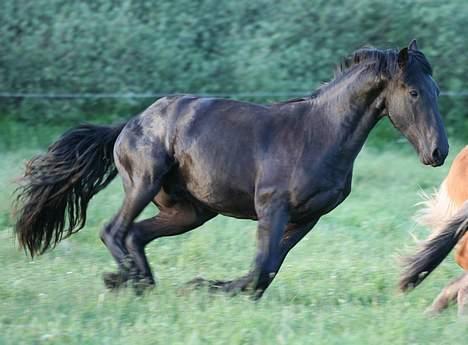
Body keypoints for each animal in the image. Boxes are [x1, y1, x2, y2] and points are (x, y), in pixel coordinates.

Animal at [14, 41, 448, 298]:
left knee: (134, 235)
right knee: (114, 230)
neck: (319, 134)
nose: (438, 151)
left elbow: (267, 269)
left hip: (189, 211)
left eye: (437, 91)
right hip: (144, 183)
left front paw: (210, 286)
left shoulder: (307, 217)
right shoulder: (273, 208)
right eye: (413, 92)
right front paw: (208, 286)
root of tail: (129, 124)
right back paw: (129, 281)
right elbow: (262, 266)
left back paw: (137, 282)